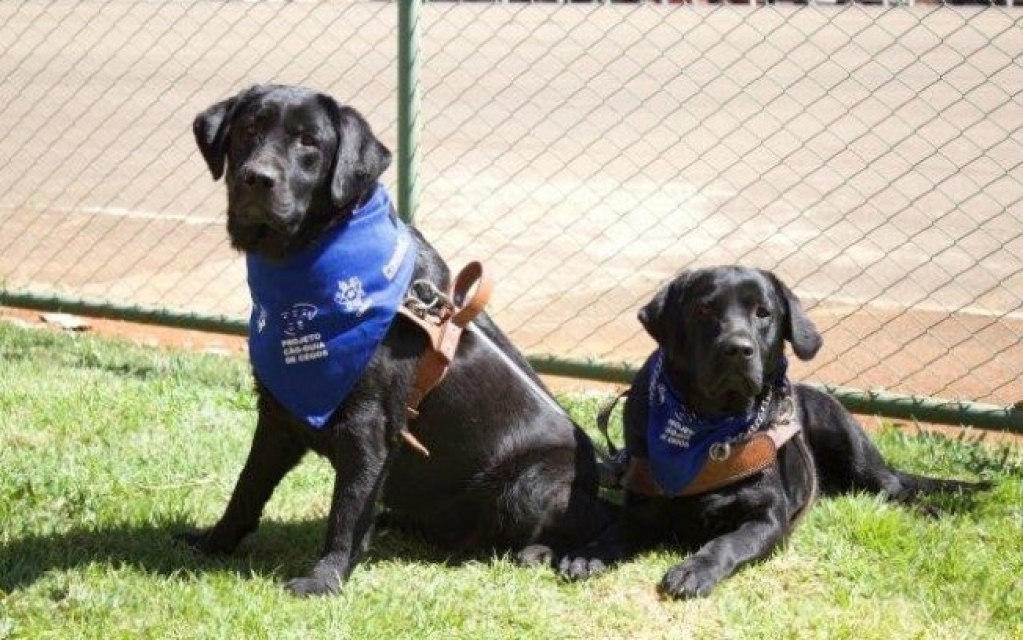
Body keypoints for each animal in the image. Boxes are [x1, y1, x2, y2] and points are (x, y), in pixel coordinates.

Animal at [181, 84, 609, 592]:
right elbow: (248, 487)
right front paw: (214, 542)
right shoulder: (279, 413)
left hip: (534, 480)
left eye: (309, 142)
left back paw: (559, 555)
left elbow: (346, 513)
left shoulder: (369, 426)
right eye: (249, 128)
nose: (257, 178)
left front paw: (323, 580)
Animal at [560, 263, 990, 597]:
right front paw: (587, 554)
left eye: (763, 312)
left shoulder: (768, 518)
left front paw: (694, 570)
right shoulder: (643, 507)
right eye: (704, 308)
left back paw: (931, 511)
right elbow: (616, 531)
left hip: (847, 438)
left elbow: (726, 543)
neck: (710, 425)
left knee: (893, 486)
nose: (737, 348)